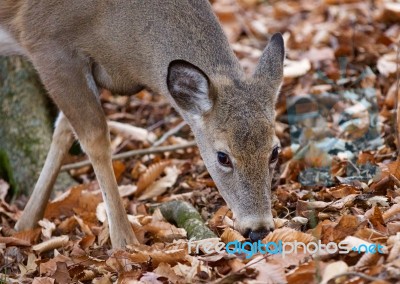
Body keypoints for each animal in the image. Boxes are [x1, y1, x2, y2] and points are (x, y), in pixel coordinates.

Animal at [1, 0, 286, 247]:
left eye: (274, 151)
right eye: (223, 156)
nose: (259, 229)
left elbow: (62, 130)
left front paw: (25, 222)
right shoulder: (47, 43)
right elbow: (95, 137)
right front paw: (124, 242)